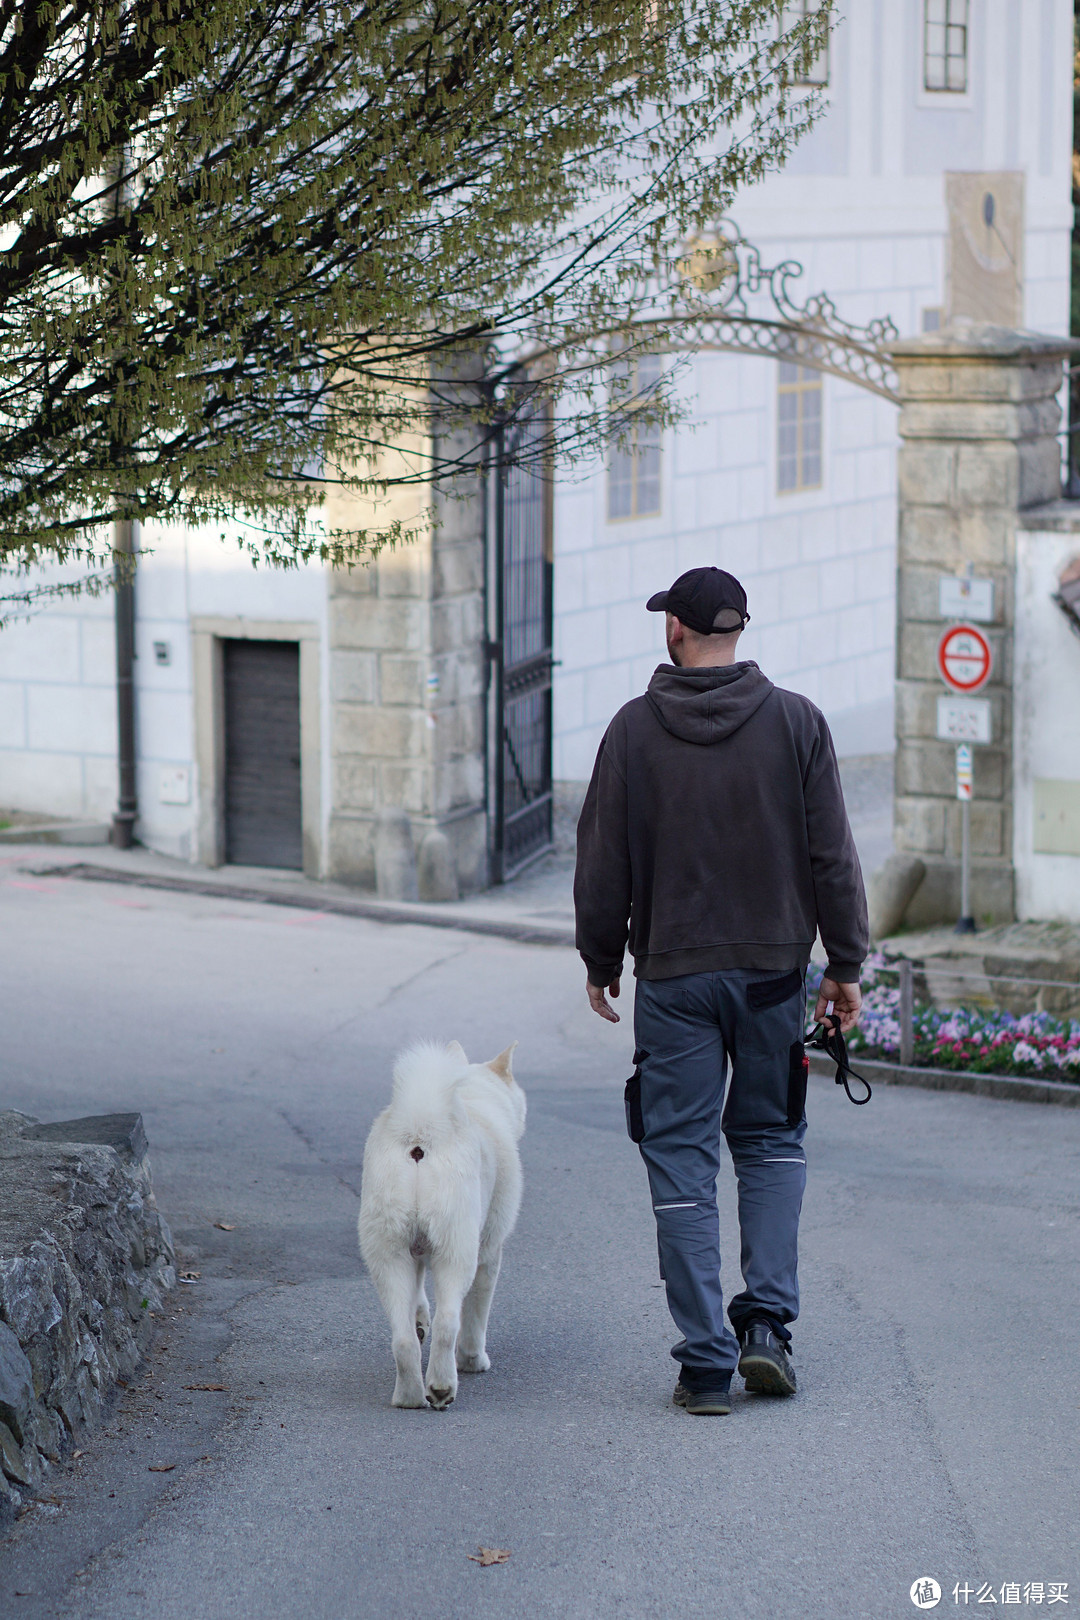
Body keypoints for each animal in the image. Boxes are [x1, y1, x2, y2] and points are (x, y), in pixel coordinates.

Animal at [361, 1036, 524, 1406]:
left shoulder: (417, 1251)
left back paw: (409, 1396)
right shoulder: (488, 1252)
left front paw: (421, 1320)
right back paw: (442, 1386)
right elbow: (476, 1316)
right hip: (457, 1252)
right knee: (450, 1322)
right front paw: (473, 1360)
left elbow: (418, 1297)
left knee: (403, 1339)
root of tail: (420, 1133)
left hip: (388, 1254)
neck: (474, 1099)